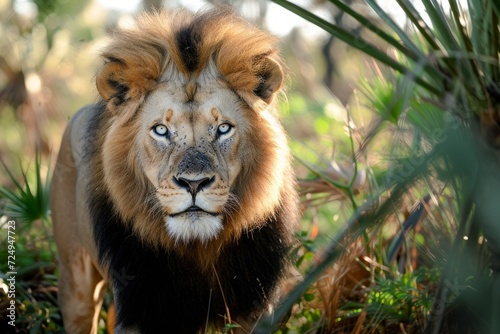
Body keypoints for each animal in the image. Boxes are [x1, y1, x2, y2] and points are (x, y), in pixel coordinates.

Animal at [50, 5, 298, 334]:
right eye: (161, 130)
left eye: (223, 128)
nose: (193, 183)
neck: (197, 248)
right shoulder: (141, 309)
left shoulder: (252, 308)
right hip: (75, 280)